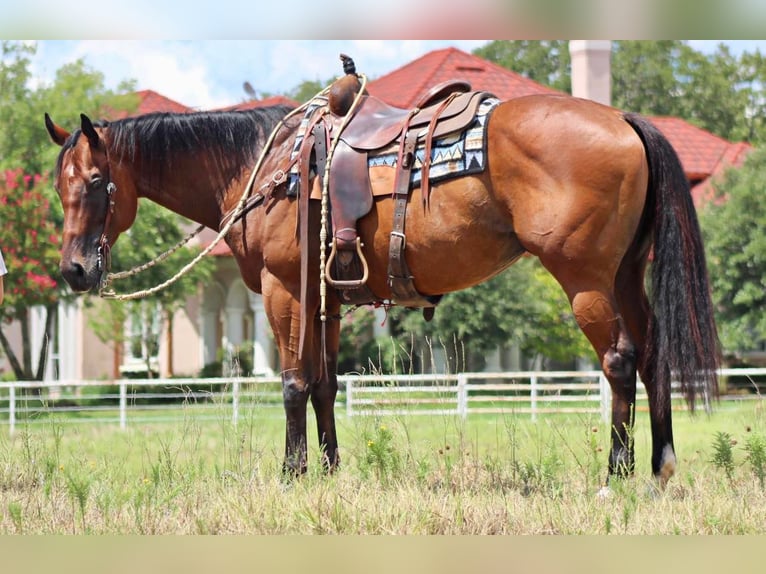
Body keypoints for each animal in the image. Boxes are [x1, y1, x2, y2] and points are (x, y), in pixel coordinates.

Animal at [46, 84, 720, 490]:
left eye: (98, 182)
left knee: (620, 360)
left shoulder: (286, 291)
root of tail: (623, 119)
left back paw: (616, 473)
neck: (266, 169)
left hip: (585, 279)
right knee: (654, 354)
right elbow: (323, 384)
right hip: (626, 274)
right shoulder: (327, 301)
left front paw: (291, 474)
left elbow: (291, 383)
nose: (75, 270)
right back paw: (660, 466)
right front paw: (329, 470)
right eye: (59, 186)